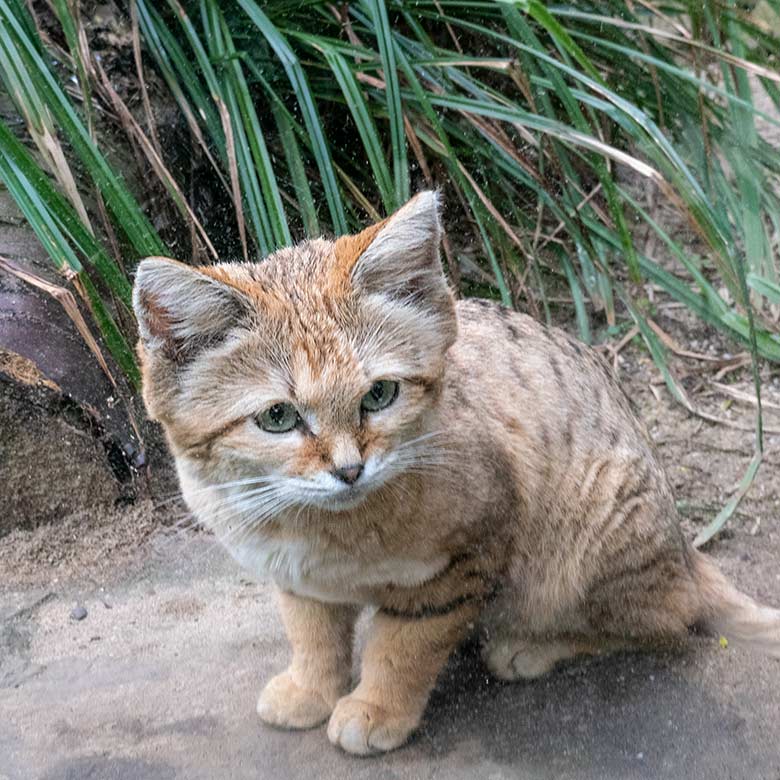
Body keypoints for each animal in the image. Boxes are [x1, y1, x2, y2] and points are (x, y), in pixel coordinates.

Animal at [134, 190, 780, 756]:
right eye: (277, 417)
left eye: (380, 395)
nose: (349, 469)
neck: (318, 530)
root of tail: (685, 549)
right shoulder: (297, 578)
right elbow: (313, 635)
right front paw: (311, 689)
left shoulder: (463, 563)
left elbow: (402, 646)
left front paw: (377, 709)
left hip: (596, 531)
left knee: (669, 618)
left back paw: (530, 647)